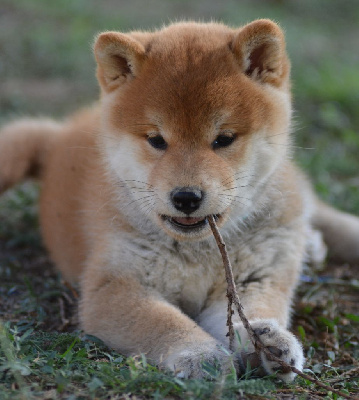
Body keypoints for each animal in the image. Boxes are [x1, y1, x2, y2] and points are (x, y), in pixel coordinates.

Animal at [0, 19, 359, 382]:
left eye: (224, 139)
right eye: (156, 140)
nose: (186, 197)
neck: (197, 252)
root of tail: (57, 138)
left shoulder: (254, 277)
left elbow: (252, 311)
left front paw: (268, 341)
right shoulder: (116, 286)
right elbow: (163, 323)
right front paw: (201, 354)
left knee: (320, 213)